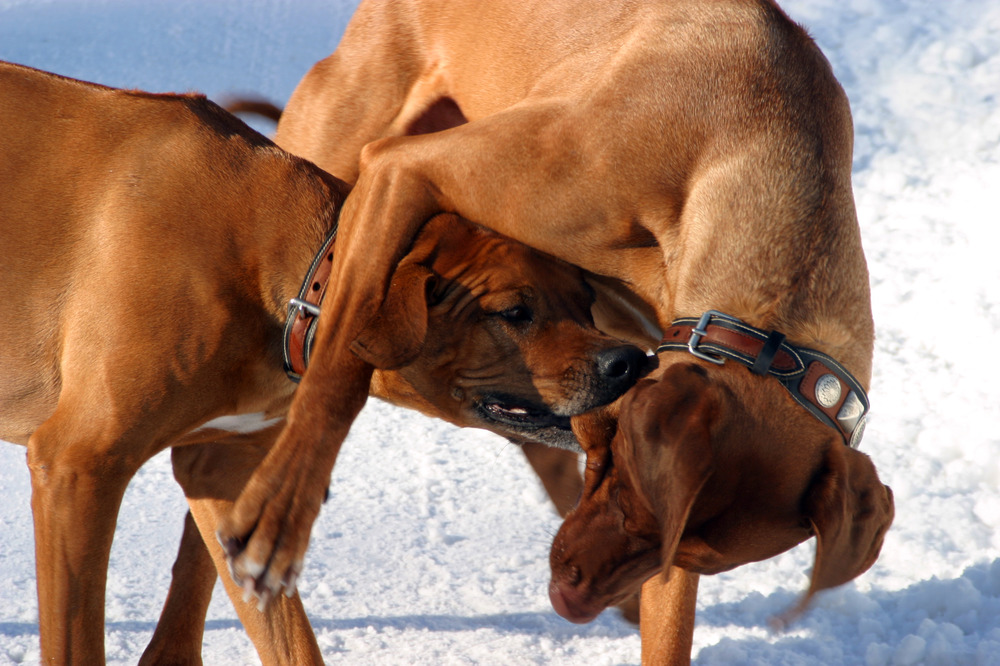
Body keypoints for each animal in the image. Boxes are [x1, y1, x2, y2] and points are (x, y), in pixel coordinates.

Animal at [0, 59, 648, 660]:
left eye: (585, 301)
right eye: (515, 312)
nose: (629, 363)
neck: (292, 278)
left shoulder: (229, 474)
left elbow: (287, 635)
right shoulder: (76, 466)